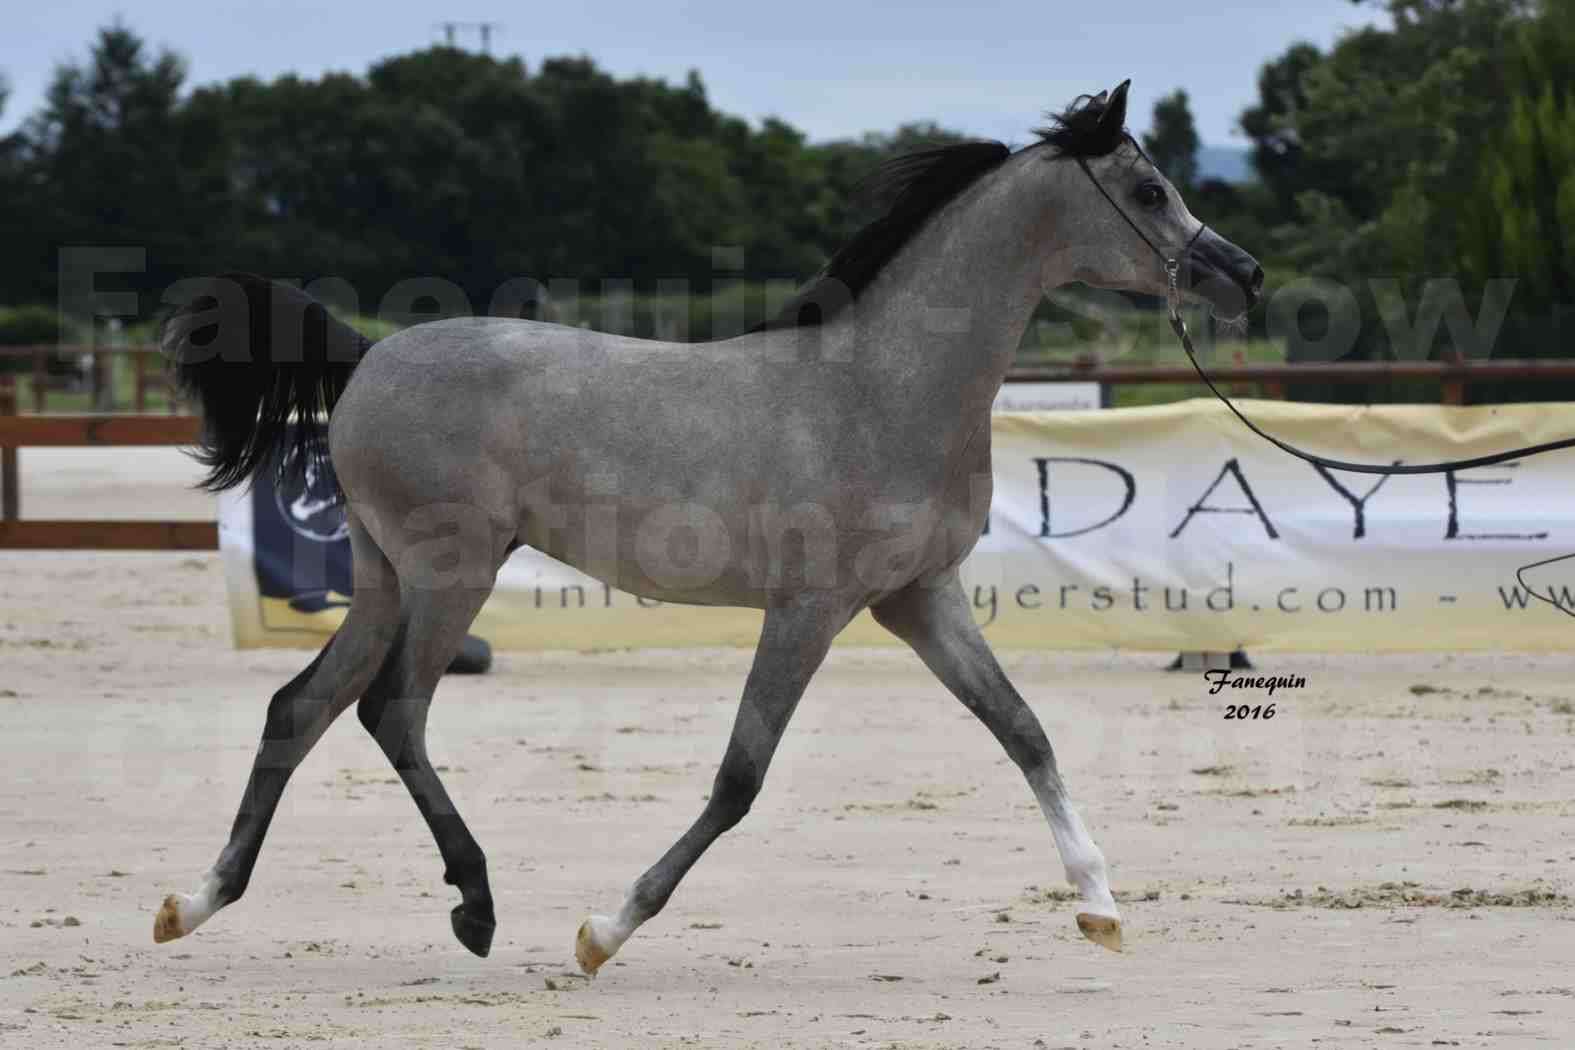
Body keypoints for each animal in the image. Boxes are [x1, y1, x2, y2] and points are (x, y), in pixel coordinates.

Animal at [156, 82, 1266, 976]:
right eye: (1149, 189)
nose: (1242, 275)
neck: (882, 389)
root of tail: (368, 356)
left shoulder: (918, 599)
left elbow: (1024, 730)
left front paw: (1100, 906)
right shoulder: (811, 609)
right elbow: (740, 778)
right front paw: (603, 932)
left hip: (385, 578)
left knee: (300, 709)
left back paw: (195, 902)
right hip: (449, 575)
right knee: (392, 712)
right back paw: (474, 904)